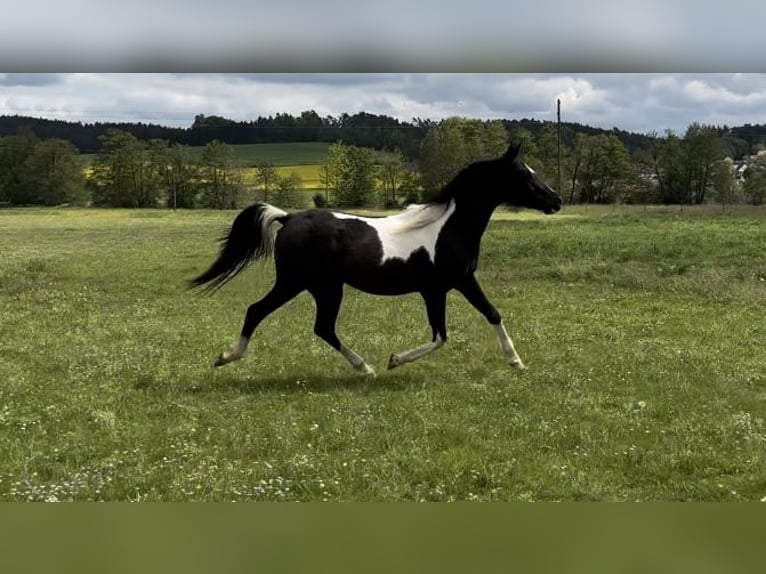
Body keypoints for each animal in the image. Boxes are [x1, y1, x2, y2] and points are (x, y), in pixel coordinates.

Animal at [192, 142, 564, 378]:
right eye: (525, 174)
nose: (556, 200)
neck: (449, 228)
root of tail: (289, 217)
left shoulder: (443, 288)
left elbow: (459, 326)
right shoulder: (452, 284)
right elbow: (462, 326)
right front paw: (395, 360)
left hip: (319, 287)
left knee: (321, 327)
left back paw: (364, 368)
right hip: (304, 284)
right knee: (263, 312)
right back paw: (228, 357)